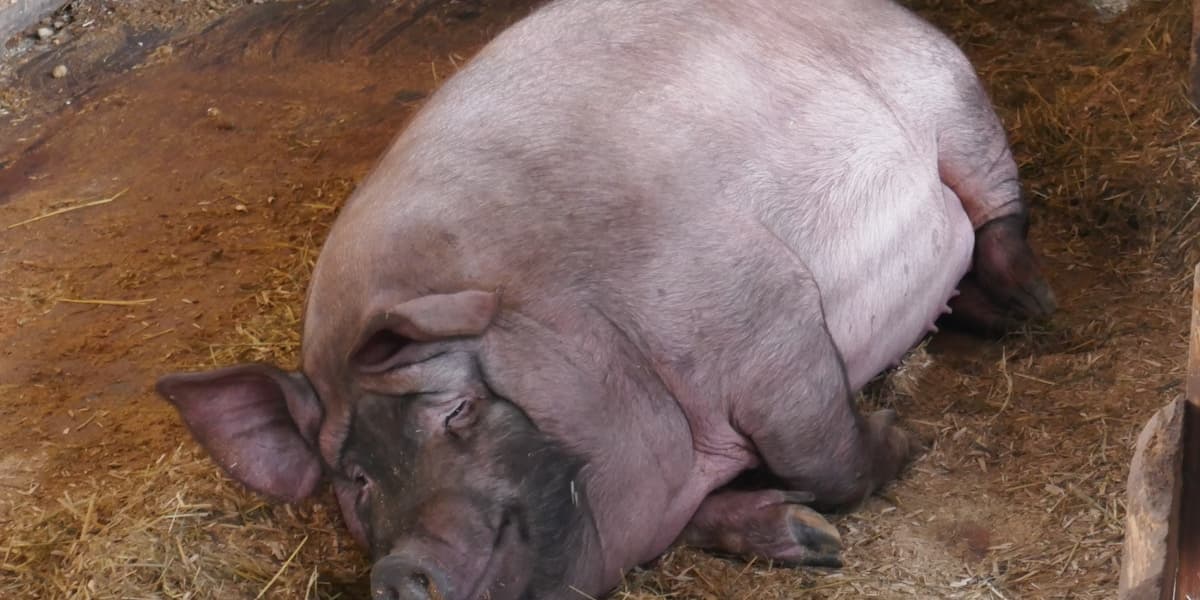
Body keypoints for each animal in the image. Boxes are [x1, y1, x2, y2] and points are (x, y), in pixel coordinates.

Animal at [155, 0, 1056, 598]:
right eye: (356, 479)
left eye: (457, 412)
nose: (405, 571)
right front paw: (804, 538)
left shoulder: (766, 317)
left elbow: (823, 454)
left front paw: (898, 445)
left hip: (954, 99)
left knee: (996, 214)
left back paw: (1028, 309)